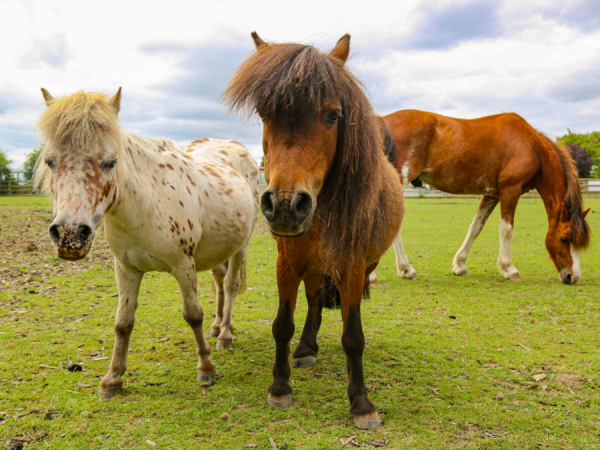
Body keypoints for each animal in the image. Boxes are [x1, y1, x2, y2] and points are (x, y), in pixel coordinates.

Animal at [35, 87, 258, 398]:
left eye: (110, 162)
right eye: (50, 161)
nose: (70, 234)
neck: (146, 205)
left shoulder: (183, 266)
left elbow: (193, 314)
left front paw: (206, 367)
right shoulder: (126, 269)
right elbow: (123, 323)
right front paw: (112, 379)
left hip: (241, 247)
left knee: (231, 285)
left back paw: (225, 335)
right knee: (219, 282)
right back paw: (216, 328)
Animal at [223, 32, 406, 428]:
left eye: (333, 115)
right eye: (265, 114)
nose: (286, 205)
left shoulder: (352, 266)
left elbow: (353, 336)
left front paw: (361, 403)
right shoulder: (287, 263)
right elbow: (283, 324)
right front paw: (280, 387)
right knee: (314, 302)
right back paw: (307, 348)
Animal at [384, 109, 592, 284]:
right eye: (564, 238)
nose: (572, 276)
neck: (532, 147)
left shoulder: (492, 194)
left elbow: (476, 227)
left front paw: (460, 265)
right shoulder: (510, 190)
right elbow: (506, 230)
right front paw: (509, 269)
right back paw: (407, 269)